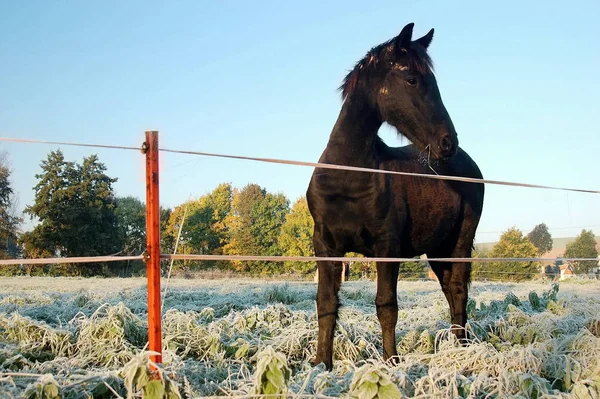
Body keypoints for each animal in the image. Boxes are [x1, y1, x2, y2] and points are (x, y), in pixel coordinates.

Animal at [308, 23, 486, 370]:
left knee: (459, 290)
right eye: (412, 80)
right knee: (449, 289)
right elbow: (326, 304)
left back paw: (461, 350)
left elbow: (386, 305)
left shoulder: (387, 247)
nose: (448, 142)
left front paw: (391, 362)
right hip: (438, 250)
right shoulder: (325, 246)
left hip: (459, 243)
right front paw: (322, 364)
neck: (348, 176)